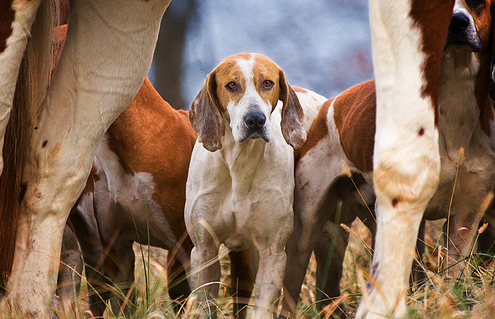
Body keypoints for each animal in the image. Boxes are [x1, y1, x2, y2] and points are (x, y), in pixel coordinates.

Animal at [184, 53, 324, 318]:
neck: (240, 163)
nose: (255, 120)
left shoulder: (272, 252)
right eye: (231, 85)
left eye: (267, 83)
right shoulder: (203, 249)